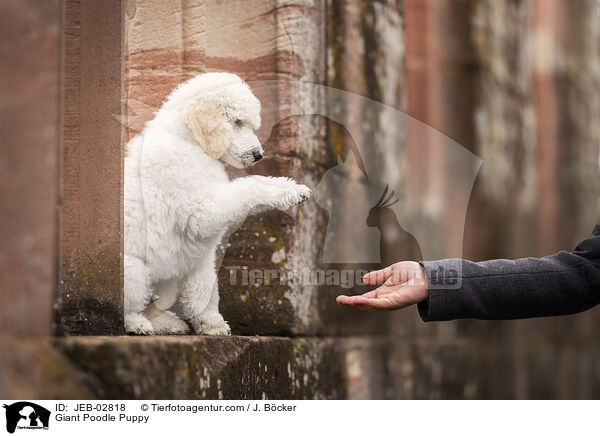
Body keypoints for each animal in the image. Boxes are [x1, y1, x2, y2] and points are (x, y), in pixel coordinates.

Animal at [124, 73, 312, 336]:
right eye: (237, 122)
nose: (259, 155)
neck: (189, 143)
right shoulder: (202, 212)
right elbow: (248, 187)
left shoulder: (202, 255)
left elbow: (204, 289)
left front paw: (292, 189)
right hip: (133, 272)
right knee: (128, 308)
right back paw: (138, 325)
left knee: (154, 305)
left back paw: (167, 324)